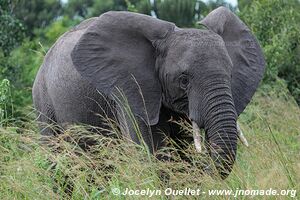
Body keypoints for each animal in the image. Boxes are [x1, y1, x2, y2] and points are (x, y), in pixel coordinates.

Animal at [32, 6, 264, 179]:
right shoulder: (129, 91)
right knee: (59, 165)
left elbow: (185, 154)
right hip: (44, 103)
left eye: (231, 75)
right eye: (184, 80)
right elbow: (155, 154)